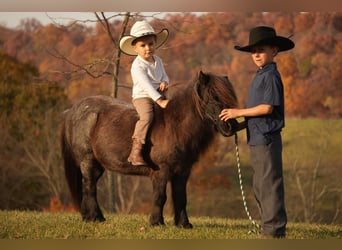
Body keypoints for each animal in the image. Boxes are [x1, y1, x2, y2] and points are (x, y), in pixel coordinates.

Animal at [60, 71, 239, 229]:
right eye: (213, 97)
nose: (230, 127)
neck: (174, 125)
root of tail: (72, 111)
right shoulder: (161, 171)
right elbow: (160, 197)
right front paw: (156, 222)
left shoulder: (182, 172)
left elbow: (181, 197)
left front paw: (184, 224)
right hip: (87, 160)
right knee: (90, 187)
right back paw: (95, 217)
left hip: (97, 165)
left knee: (88, 186)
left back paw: (90, 217)